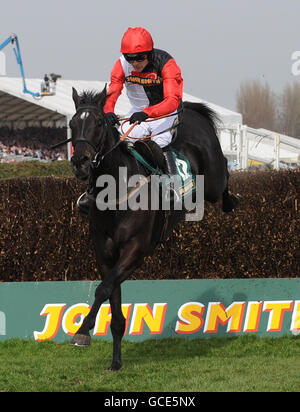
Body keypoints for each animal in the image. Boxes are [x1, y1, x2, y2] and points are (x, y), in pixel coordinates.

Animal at [69, 86, 238, 370]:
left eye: (99, 123)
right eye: (72, 124)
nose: (80, 162)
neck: (117, 191)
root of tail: (191, 111)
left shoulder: (136, 249)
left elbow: (103, 288)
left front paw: (82, 331)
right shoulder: (105, 253)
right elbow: (112, 297)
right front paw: (115, 362)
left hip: (213, 180)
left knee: (224, 171)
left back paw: (231, 200)